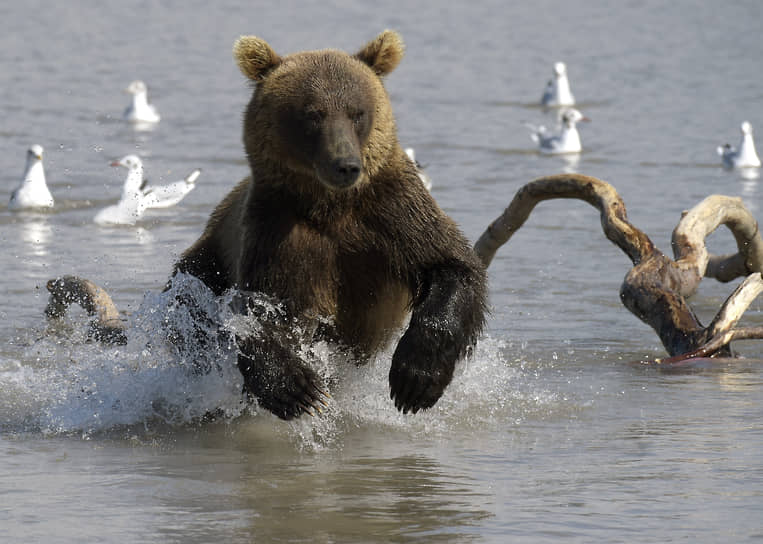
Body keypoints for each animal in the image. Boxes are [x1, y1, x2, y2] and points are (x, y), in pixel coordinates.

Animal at [170, 30, 488, 420]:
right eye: (312, 115)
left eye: (357, 112)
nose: (345, 165)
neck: (331, 205)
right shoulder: (276, 227)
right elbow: (260, 308)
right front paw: (297, 389)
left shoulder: (393, 214)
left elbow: (452, 264)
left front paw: (415, 380)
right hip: (206, 258)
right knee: (187, 302)